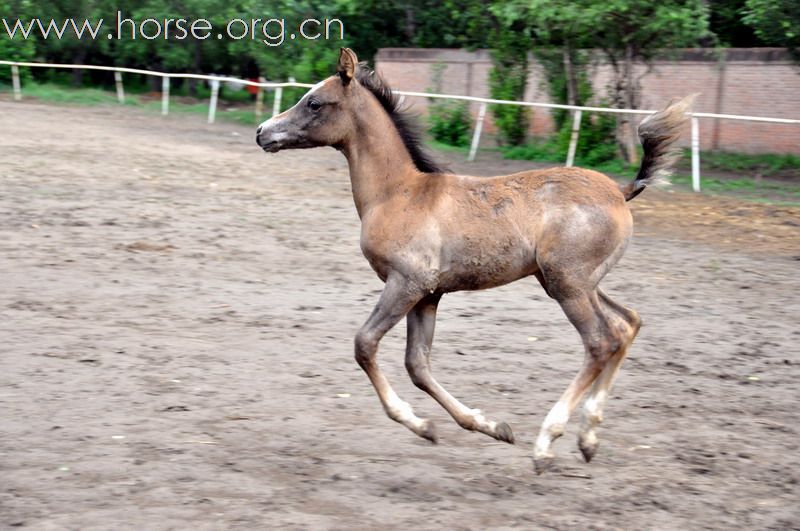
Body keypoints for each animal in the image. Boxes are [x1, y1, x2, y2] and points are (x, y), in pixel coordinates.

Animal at [258, 48, 692, 474]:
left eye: (314, 102)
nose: (263, 132)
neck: (398, 193)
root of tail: (621, 190)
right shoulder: (428, 295)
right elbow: (418, 366)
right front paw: (487, 426)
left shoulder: (407, 283)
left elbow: (365, 345)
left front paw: (419, 422)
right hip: (574, 282)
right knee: (626, 324)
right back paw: (588, 439)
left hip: (568, 284)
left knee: (601, 342)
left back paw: (547, 443)